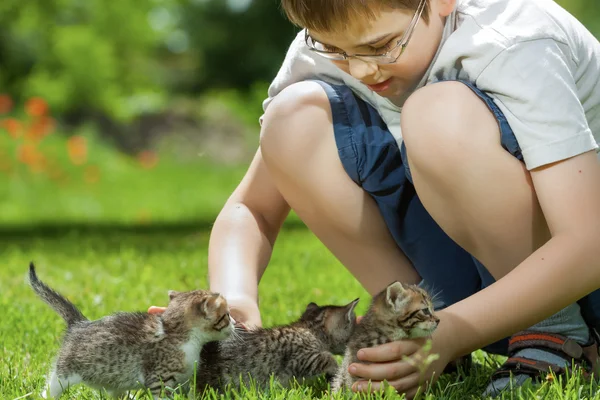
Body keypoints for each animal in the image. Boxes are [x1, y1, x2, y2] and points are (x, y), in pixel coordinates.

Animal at [28, 262, 234, 400]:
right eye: (226, 315)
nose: (233, 323)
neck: (180, 336)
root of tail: (80, 324)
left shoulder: (183, 380)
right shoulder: (159, 379)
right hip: (65, 372)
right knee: (51, 387)